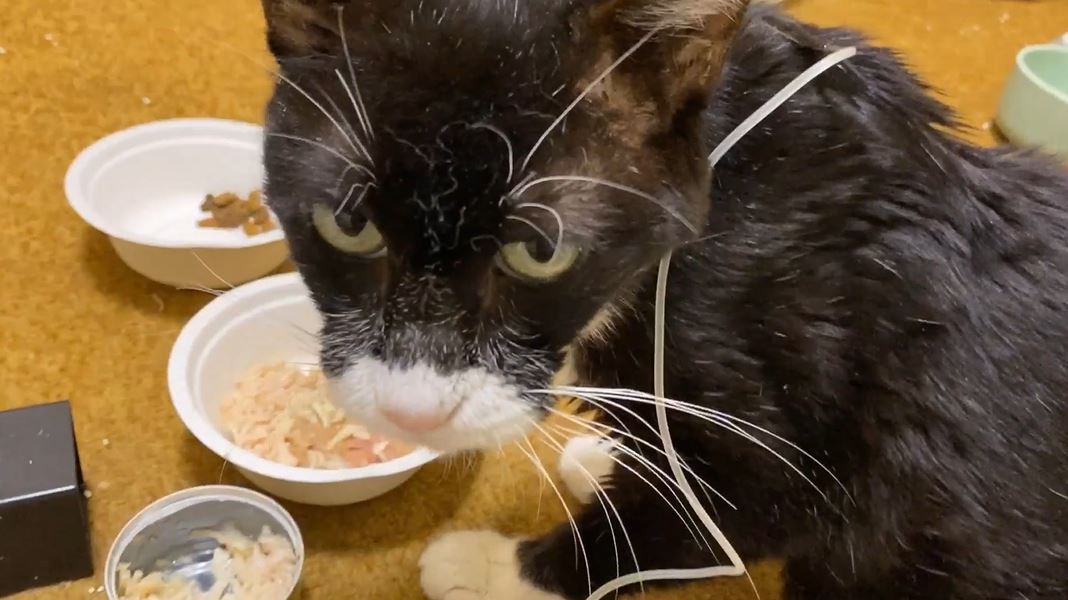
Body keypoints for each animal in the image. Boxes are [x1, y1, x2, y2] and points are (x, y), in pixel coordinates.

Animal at [259, 0, 1068, 598]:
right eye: (349, 225)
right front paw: (608, 456)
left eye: (541, 253)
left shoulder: (787, 445)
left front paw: (491, 567)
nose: (412, 410)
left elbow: (686, 523)